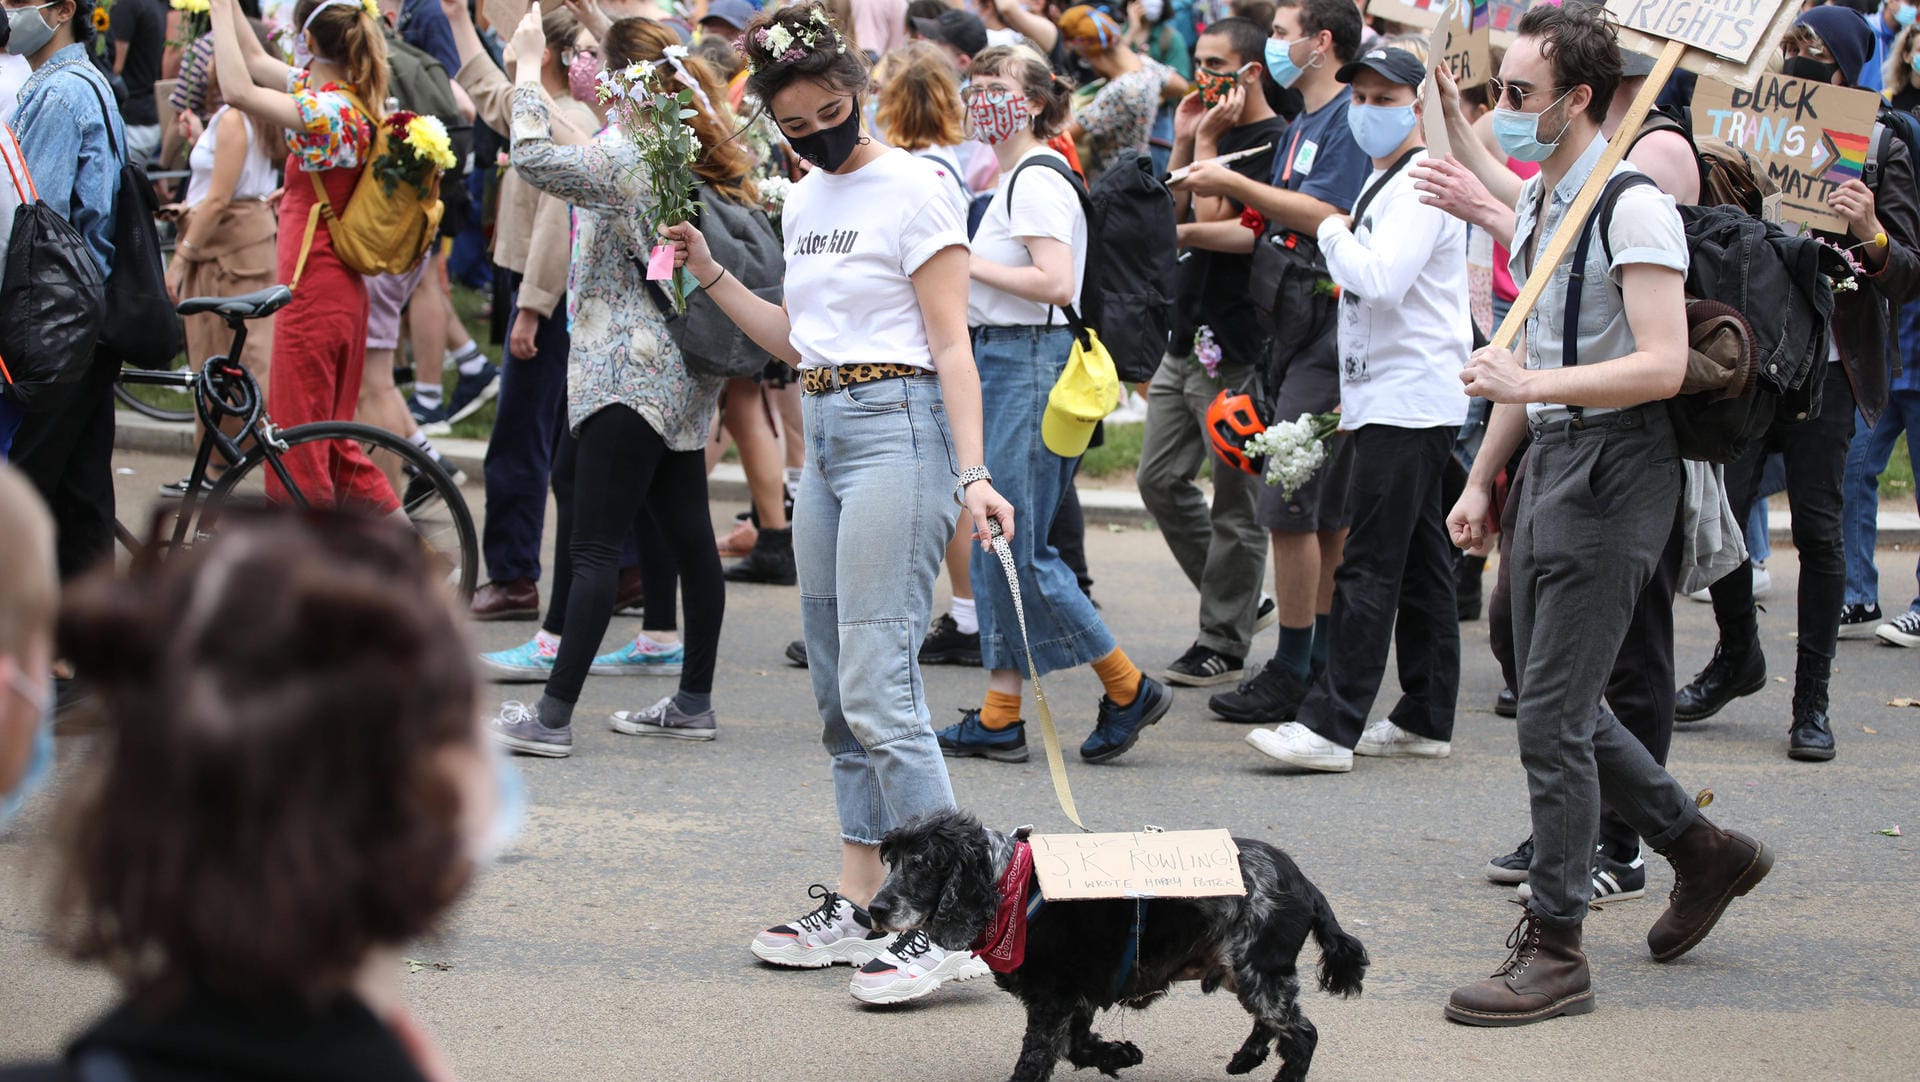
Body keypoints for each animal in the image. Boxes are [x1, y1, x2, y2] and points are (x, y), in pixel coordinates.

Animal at [871, 813, 1367, 1082]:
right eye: (892, 861)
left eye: (922, 864)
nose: (874, 908)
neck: (1006, 884)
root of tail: (1304, 883)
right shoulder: (1077, 997)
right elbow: (1077, 1046)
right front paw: (1121, 1054)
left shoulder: (1053, 1000)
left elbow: (1036, 1058)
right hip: (1243, 972)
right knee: (1276, 1025)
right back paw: (1246, 1058)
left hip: (1257, 971)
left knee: (1302, 1035)